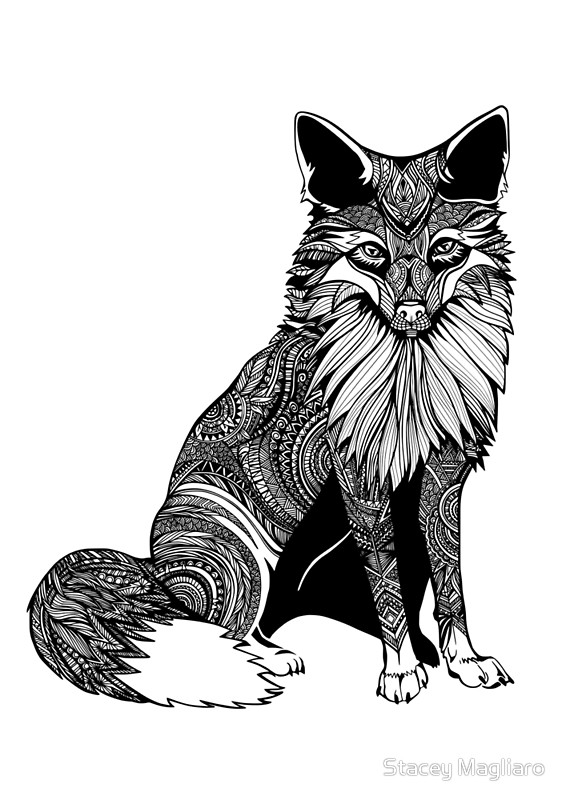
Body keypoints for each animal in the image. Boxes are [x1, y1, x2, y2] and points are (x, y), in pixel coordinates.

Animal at [29, 108, 513, 705]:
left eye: (445, 249)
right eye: (371, 254)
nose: (411, 311)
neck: (411, 375)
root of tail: (153, 570)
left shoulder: (442, 481)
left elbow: (450, 585)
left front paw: (462, 661)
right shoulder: (362, 483)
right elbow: (389, 595)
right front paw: (400, 670)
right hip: (245, 557)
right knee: (229, 626)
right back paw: (268, 660)